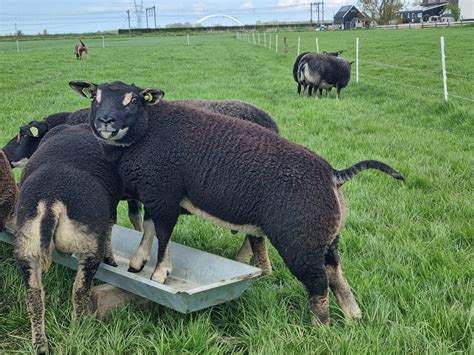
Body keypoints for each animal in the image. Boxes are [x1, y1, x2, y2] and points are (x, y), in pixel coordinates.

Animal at [14, 124, 123, 354]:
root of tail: (50, 202)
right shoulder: (111, 211)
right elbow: (111, 229)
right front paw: (112, 261)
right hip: (89, 245)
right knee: (80, 290)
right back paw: (79, 328)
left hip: (26, 248)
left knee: (34, 296)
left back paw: (40, 344)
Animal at [69, 81, 404, 328]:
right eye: (95, 97)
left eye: (133, 100)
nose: (105, 122)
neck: (148, 130)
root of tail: (332, 173)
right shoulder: (155, 194)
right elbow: (150, 229)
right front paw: (138, 262)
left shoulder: (163, 195)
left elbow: (163, 236)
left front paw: (159, 274)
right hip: (326, 235)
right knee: (336, 273)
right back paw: (353, 317)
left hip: (300, 239)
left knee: (318, 283)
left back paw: (319, 330)